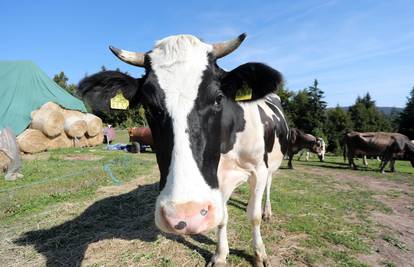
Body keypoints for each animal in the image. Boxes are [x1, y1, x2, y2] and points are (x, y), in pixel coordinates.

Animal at [79, 34, 290, 266]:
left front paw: (259, 253)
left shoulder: (258, 169)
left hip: (271, 164)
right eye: (148, 106)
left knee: (269, 185)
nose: (185, 216)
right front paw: (220, 254)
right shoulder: (217, 182)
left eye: (218, 98)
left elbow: (253, 215)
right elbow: (222, 217)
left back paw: (268, 211)